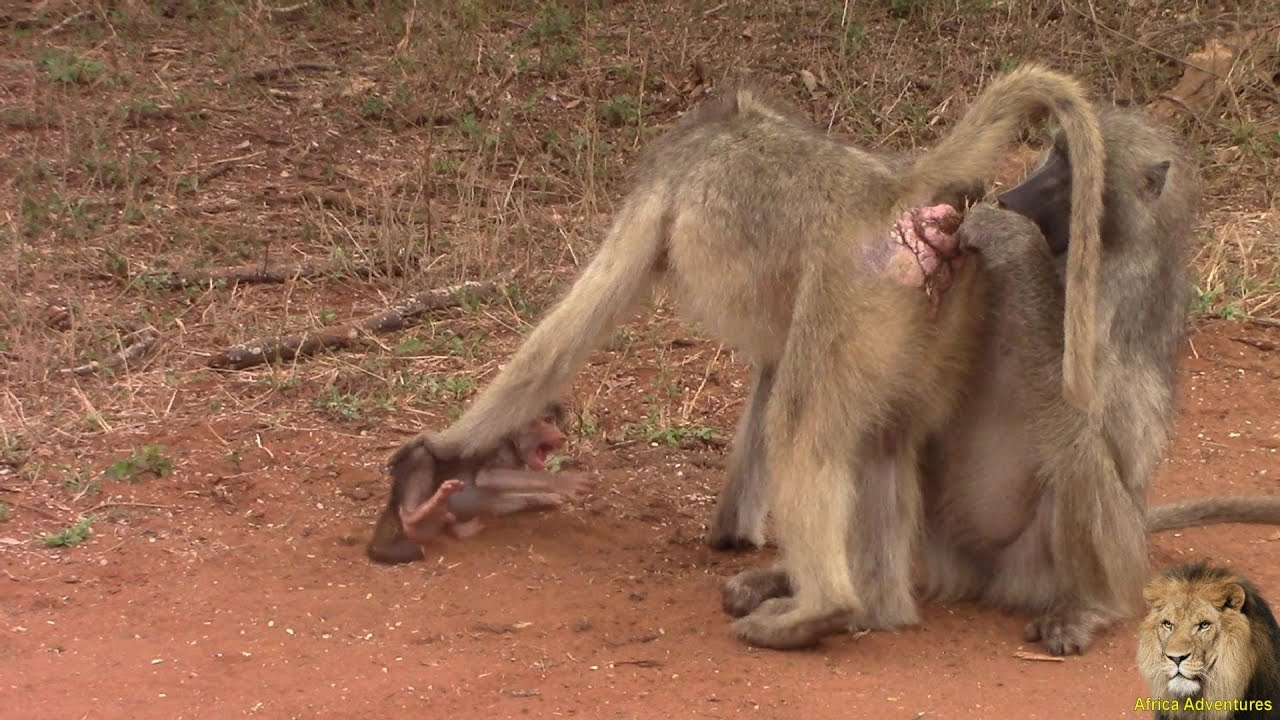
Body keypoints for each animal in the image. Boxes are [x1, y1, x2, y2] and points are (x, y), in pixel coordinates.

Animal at [366, 405, 591, 565]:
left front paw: (546, 498)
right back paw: (416, 516)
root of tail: (392, 506)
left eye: (555, 422)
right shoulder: (494, 444)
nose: (561, 436)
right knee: (422, 454)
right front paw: (560, 482)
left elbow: (500, 500)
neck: (512, 444)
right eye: (547, 421)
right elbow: (486, 477)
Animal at [406, 64, 1110, 650]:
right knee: (879, 438)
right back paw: (877, 607)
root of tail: (883, 190)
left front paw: (444, 447)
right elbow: (771, 372)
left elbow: (568, 329)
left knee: (801, 427)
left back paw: (820, 611)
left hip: (850, 291)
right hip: (932, 309)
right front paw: (732, 533)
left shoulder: (660, 188)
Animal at [714, 105, 1280, 655]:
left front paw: (1011, 236)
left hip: (1052, 565)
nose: (1012, 198)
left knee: (1074, 458)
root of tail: (981, 574)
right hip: (940, 543)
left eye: (1072, 171)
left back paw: (1089, 608)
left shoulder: (1117, 294)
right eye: (1053, 153)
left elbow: (1101, 425)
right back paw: (787, 584)